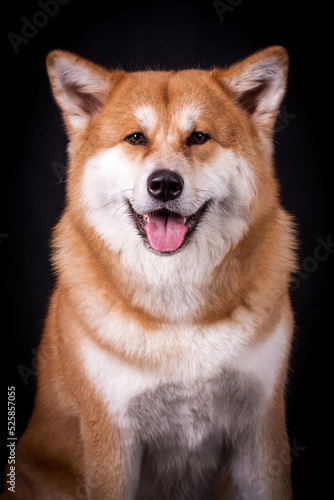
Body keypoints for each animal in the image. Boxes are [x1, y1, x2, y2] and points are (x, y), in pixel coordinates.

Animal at [3, 46, 296, 496]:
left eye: (198, 137)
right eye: (136, 137)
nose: (164, 184)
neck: (176, 296)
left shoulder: (260, 428)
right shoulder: (111, 435)